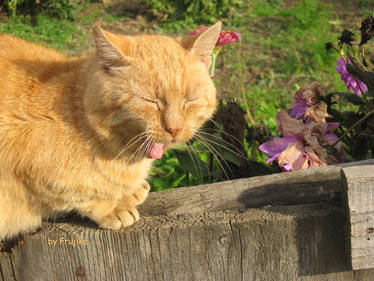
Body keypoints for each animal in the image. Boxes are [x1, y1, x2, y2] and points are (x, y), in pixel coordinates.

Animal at [0, 22, 222, 241]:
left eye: (189, 100)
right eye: (151, 101)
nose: (174, 128)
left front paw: (130, 192)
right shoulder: (27, 166)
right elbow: (82, 195)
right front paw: (113, 207)